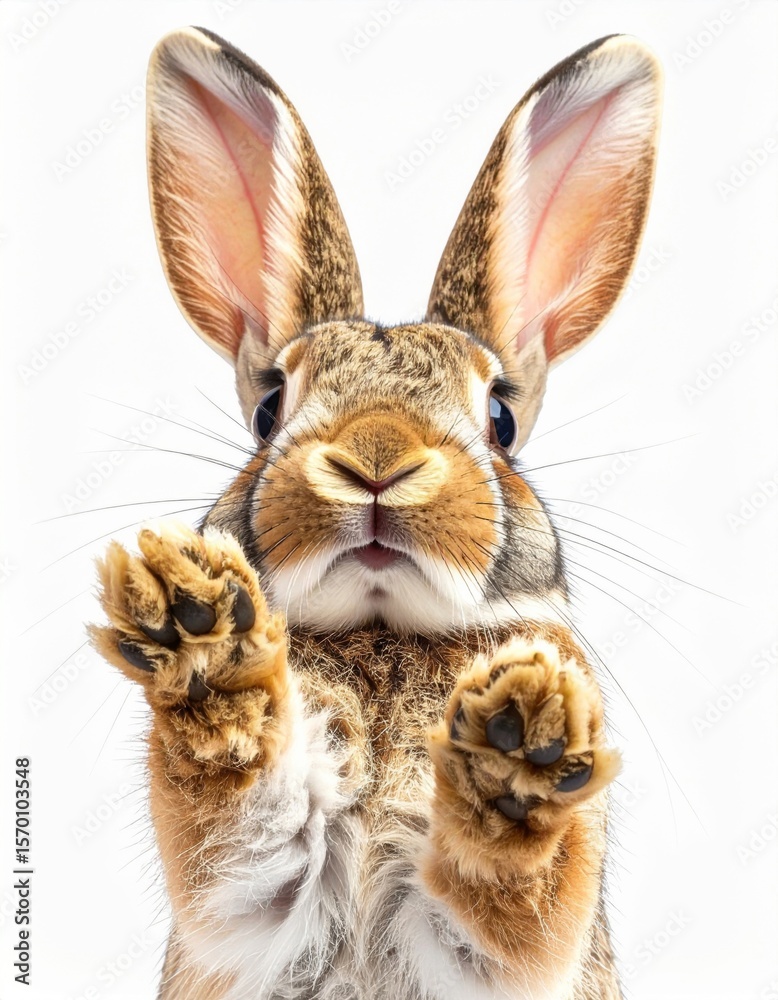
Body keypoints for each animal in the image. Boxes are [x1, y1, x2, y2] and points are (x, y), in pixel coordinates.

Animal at [90, 26, 662, 1000]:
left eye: (500, 419)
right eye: (269, 407)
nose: (378, 465)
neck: (383, 634)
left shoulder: (511, 942)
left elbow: (515, 900)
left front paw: (521, 742)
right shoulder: (251, 888)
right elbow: (239, 816)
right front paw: (199, 638)